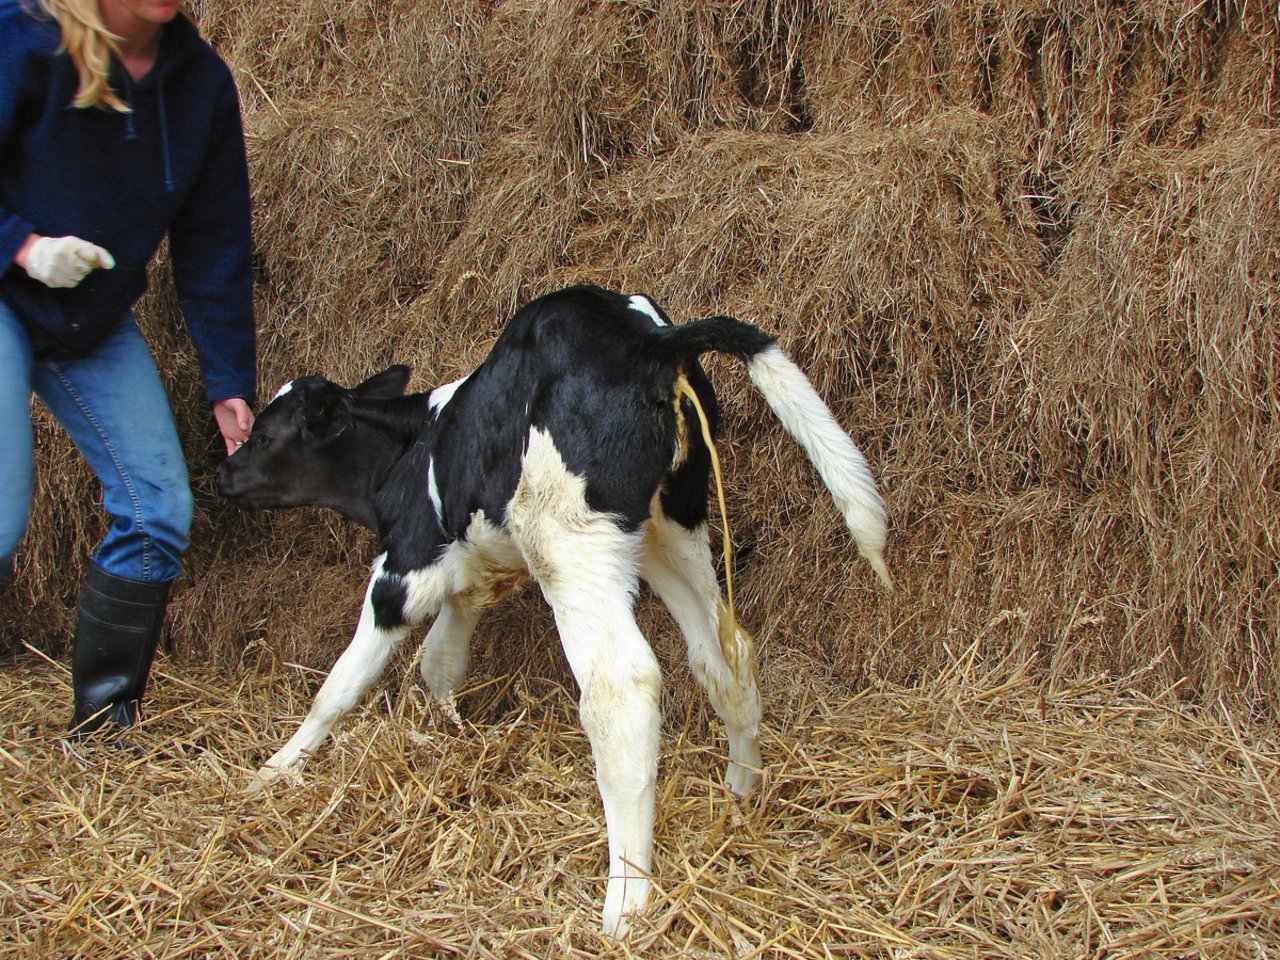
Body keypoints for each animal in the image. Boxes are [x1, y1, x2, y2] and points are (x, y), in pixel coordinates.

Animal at [217, 281, 890, 936]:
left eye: (264, 435)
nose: (223, 475)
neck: (410, 448)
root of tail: (647, 338)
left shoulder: (404, 568)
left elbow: (340, 683)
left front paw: (275, 769)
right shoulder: (470, 577)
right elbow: (440, 662)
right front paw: (446, 732)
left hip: (568, 539)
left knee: (621, 686)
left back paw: (626, 905)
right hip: (668, 527)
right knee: (724, 650)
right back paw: (743, 787)